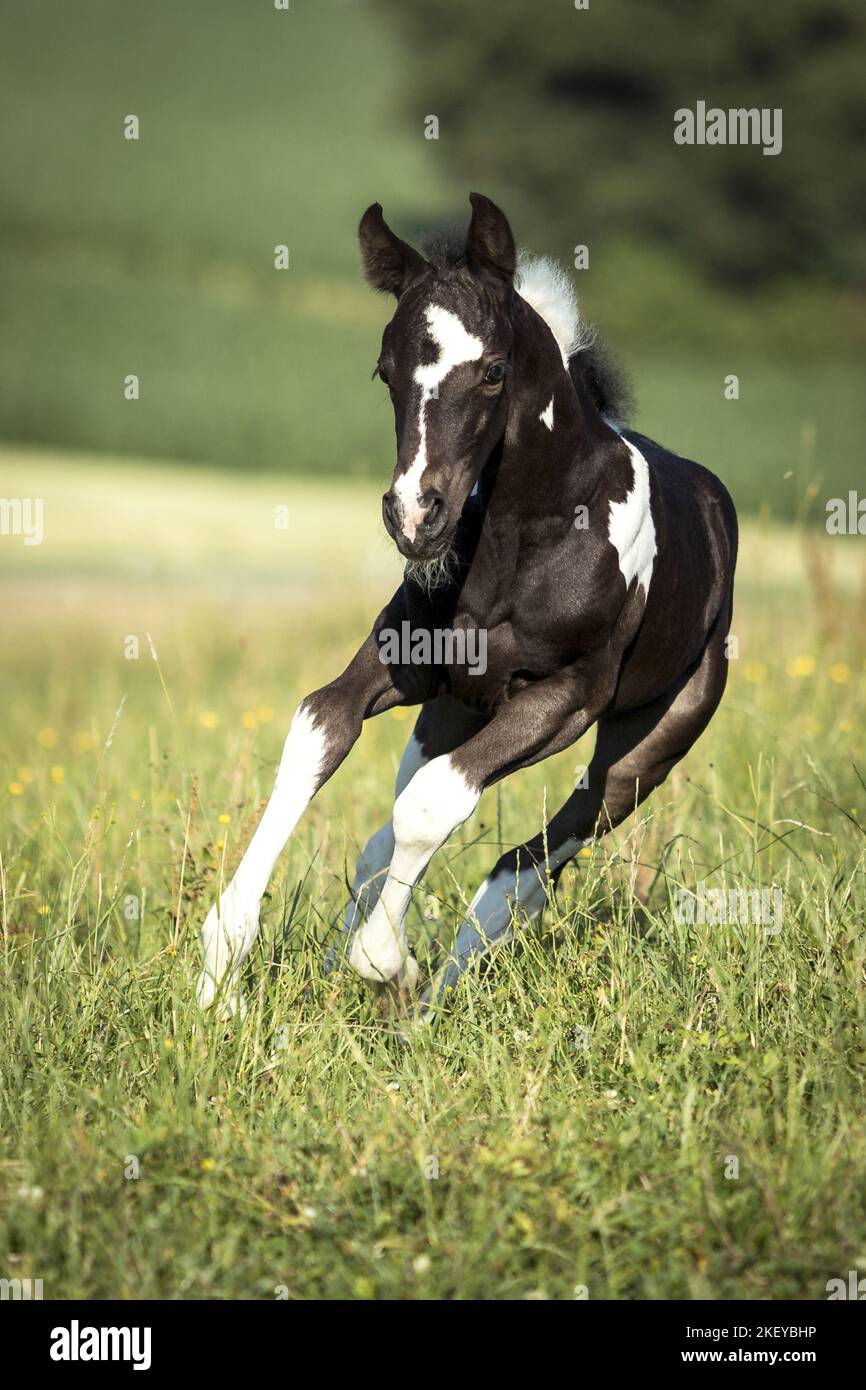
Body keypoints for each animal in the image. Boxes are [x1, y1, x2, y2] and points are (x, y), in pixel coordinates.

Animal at [197, 192, 738, 1019]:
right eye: (385, 370)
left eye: (492, 372)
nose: (416, 516)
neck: (523, 540)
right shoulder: (403, 664)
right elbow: (321, 731)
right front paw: (223, 968)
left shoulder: (564, 700)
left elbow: (433, 808)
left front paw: (387, 967)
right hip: (450, 709)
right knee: (389, 839)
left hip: (644, 749)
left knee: (526, 867)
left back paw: (427, 1007)